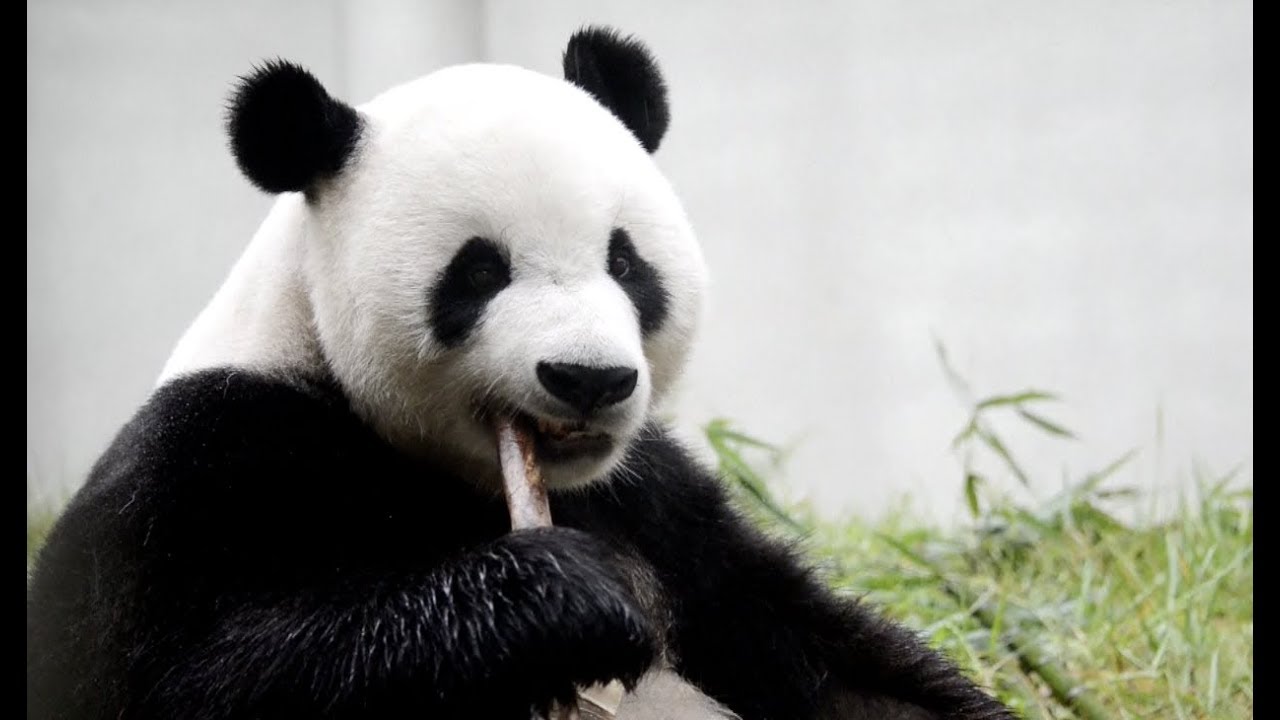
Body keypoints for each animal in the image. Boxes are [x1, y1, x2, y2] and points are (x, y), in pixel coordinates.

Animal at [27, 26, 1015, 720]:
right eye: (478, 272)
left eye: (626, 262)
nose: (588, 379)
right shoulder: (204, 469)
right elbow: (190, 676)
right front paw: (573, 597)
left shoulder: (655, 502)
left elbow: (827, 660)